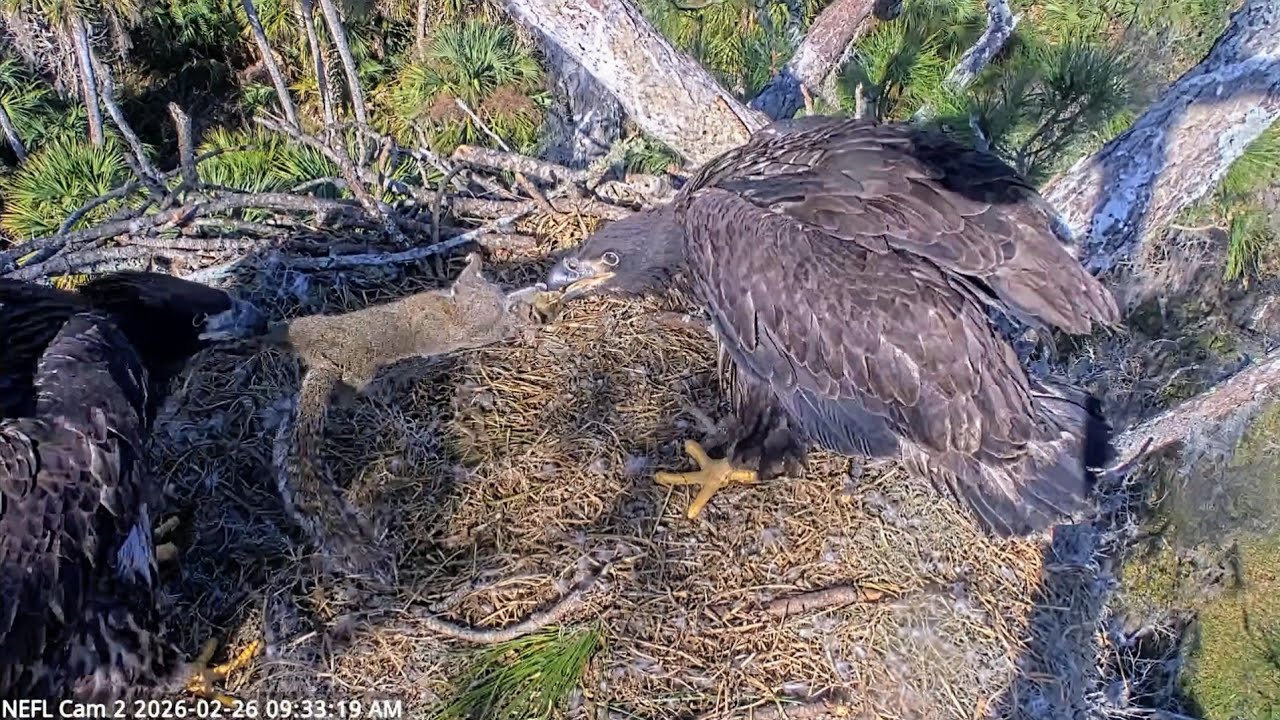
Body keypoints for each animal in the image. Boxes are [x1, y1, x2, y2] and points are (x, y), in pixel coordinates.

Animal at [267, 253, 559, 587]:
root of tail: (325, 364)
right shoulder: (474, 310)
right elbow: (484, 294)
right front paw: (503, 280)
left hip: (328, 339)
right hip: (329, 334)